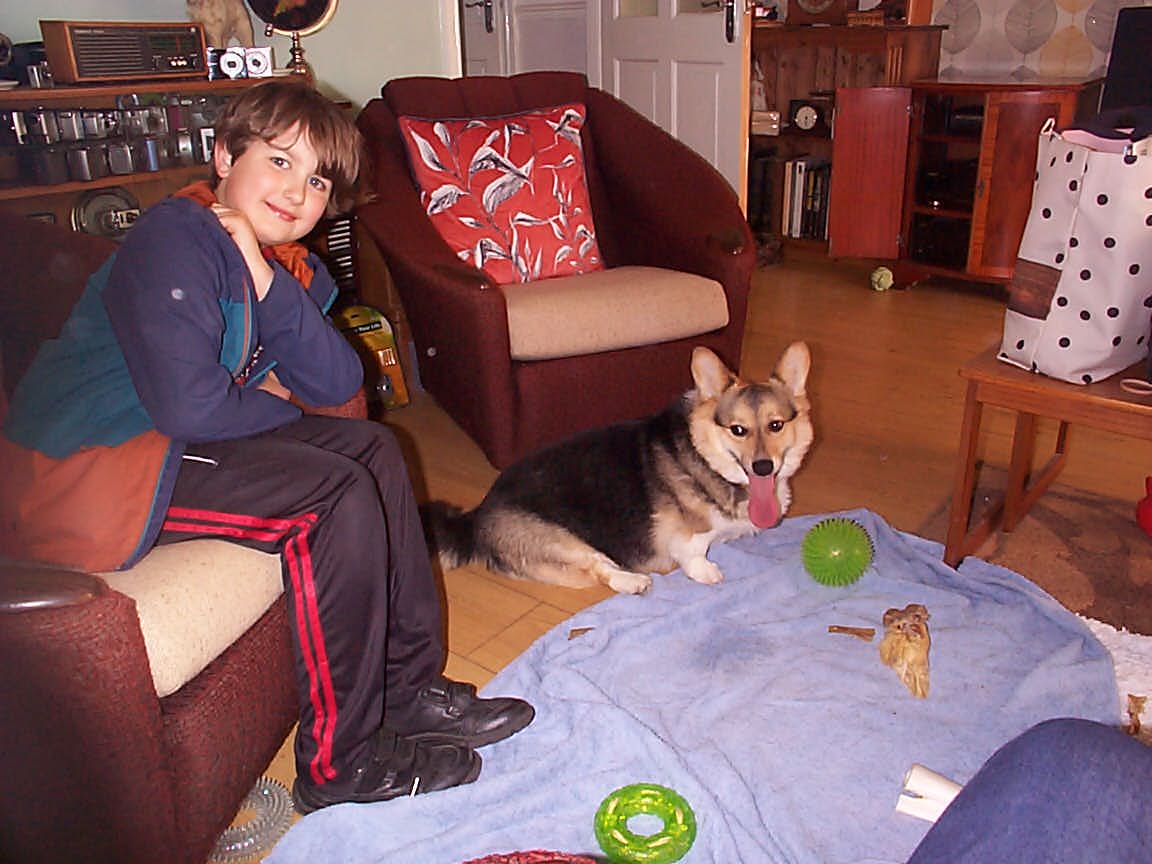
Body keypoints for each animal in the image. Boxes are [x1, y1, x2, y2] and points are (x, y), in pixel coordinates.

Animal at [422, 342, 813, 594]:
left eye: (776, 425)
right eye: (738, 430)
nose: (762, 467)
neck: (705, 458)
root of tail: (475, 516)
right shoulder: (687, 536)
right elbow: (693, 549)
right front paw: (706, 572)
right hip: (562, 540)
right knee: (599, 567)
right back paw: (633, 581)